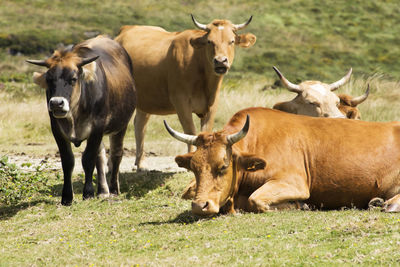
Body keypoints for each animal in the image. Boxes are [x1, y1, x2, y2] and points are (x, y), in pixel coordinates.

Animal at [27, 35, 136, 206]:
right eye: (49, 79)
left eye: (73, 79)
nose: (56, 103)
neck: (74, 115)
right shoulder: (56, 129)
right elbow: (68, 161)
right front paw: (67, 197)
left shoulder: (98, 126)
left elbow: (88, 159)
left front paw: (88, 193)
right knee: (101, 157)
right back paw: (103, 191)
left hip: (121, 125)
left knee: (116, 154)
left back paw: (113, 190)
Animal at [115, 14, 256, 171]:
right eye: (209, 41)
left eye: (231, 41)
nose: (220, 61)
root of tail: (125, 29)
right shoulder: (180, 101)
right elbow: (190, 131)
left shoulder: (212, 104)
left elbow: (206, 130)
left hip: (146, 100)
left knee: (140, 125)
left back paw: (141, 163)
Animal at [165, 107, 400, 216]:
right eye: (194, 169)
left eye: (223, 166)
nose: (199, 206)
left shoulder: (294, 182)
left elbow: (256, 200)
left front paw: (299, 205)